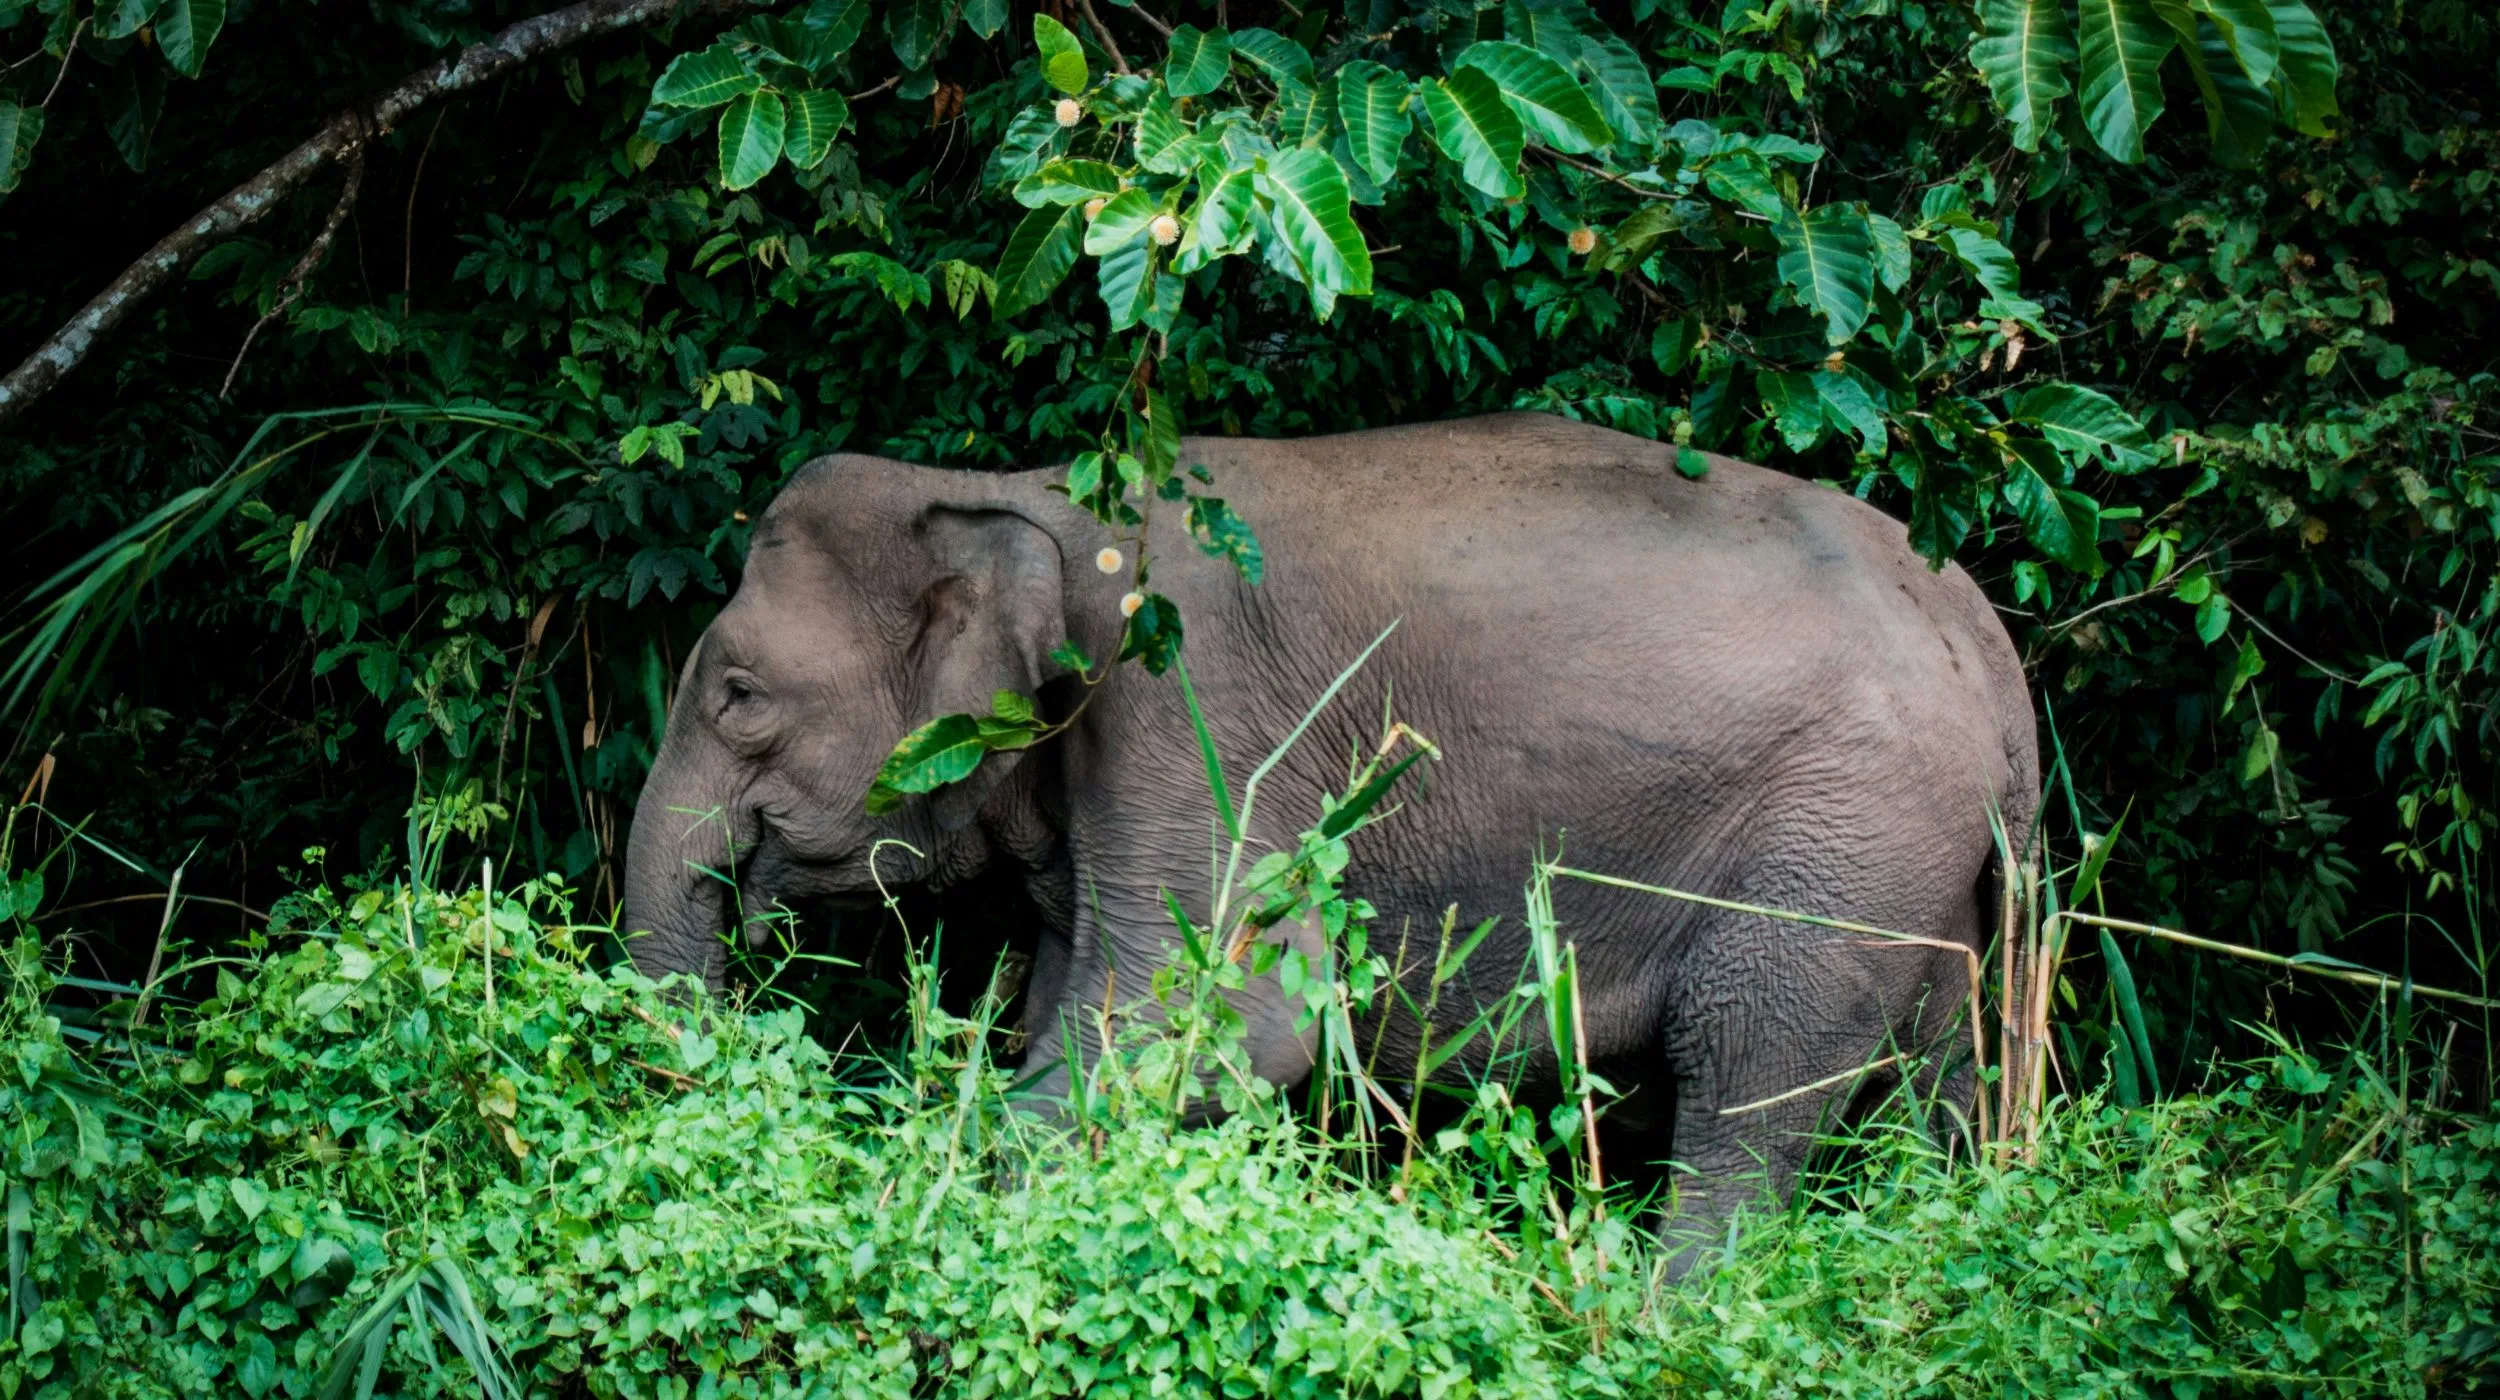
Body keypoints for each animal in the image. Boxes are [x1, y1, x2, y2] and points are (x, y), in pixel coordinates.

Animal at [622, 410, 2038, 1251]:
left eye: (738, 694)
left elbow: (1220, 1026)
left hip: (1839, 840)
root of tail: (1989, 648)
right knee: (1930, 1076)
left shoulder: (1193, 713)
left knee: (1746, 1077)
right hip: (1917, 866)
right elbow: (1085, 1010)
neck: (1012, 491)